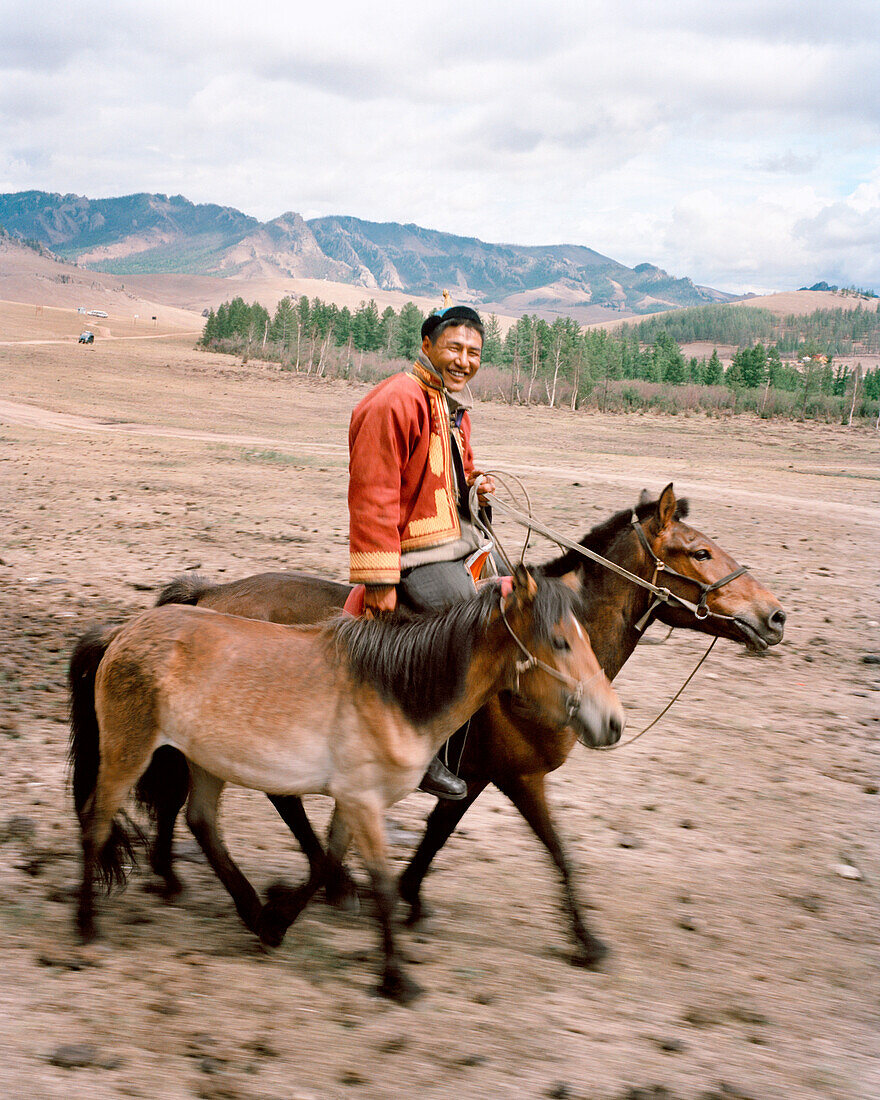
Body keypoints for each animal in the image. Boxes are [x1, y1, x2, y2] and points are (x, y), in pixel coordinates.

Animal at [68, 572, 620, 1003]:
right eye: (560, 641)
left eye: (586, 637)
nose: (611, 722)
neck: (397, 689)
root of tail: (121, 631)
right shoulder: (364, 799)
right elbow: (378, 883)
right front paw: (396, 979)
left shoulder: (358, 799)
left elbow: (329, 861)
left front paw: (278, 920)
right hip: (129, 751)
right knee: (97, 823)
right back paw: (87, 926)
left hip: (206, 759)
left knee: (201, 822)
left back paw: (249, 911)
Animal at [147, 481, 787, 963]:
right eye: (700, 553)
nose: (776, 616)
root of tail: (210, 595)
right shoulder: (520, 777)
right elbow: (558, 850)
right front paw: (587, 940)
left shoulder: (476, 774)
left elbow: (438, 831)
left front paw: (407, 895)